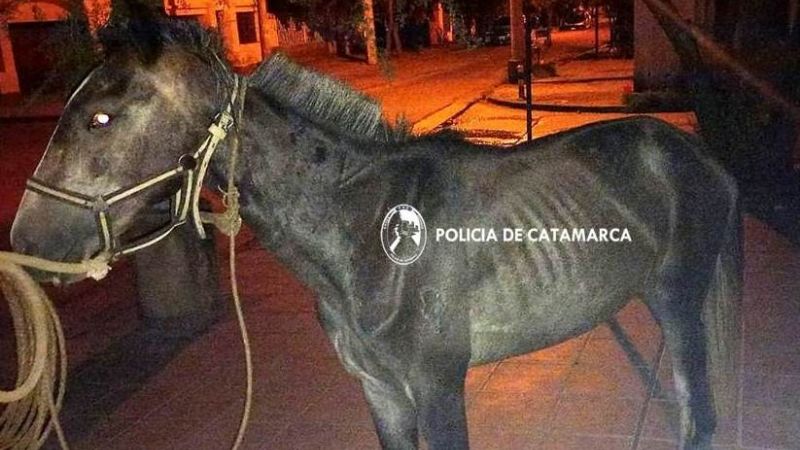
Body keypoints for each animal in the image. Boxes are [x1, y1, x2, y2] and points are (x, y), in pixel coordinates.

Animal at [10, 19, 741, 450]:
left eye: (102, 117)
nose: (29, 243)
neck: (369, 235)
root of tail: (700, 154)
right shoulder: (381, 392)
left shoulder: (439, 389)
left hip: (678, 301)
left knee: (701, 413)